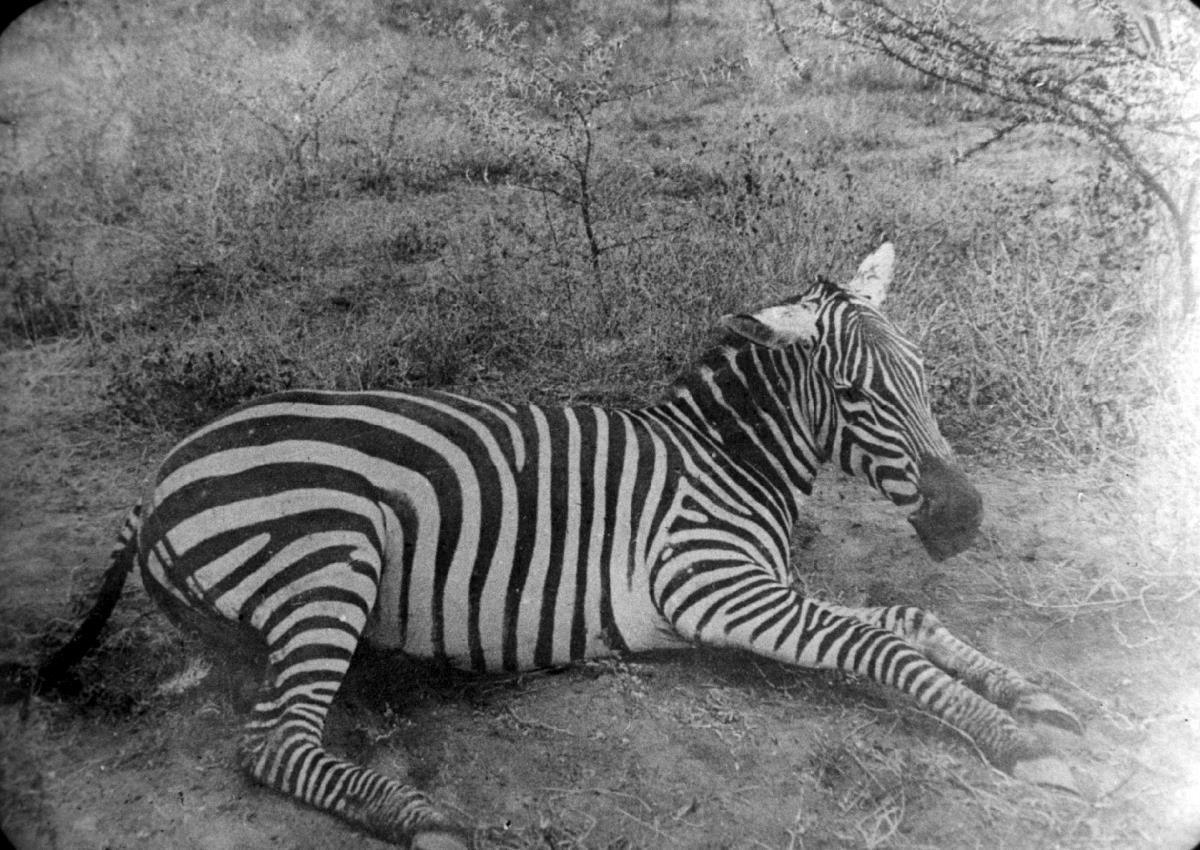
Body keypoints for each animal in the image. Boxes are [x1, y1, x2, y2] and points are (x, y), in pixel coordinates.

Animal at [17, 244, 1081, 849]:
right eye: (860, 394)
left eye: (924, 375)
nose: (965, 517)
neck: (725, 457)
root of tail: (163, 472)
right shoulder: (712, 586)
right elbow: (878, 644)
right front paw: (1019, 743)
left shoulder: (758, 587)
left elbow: (907, 617)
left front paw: (1034, 695)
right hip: (333, 557)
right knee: (273, 742)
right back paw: (422, 818)